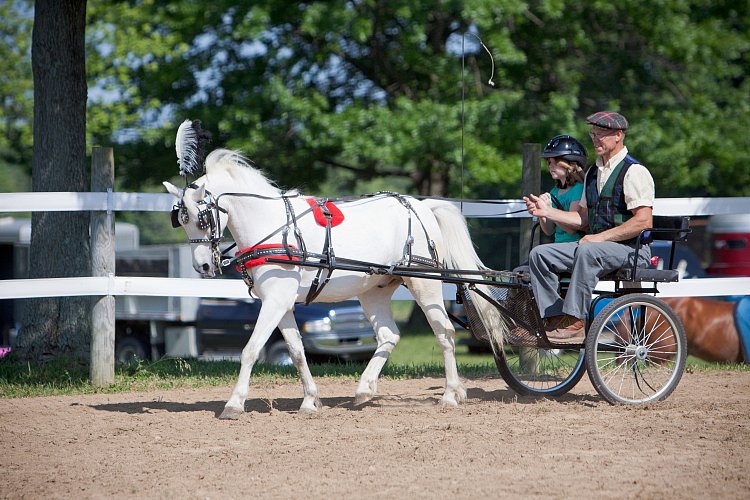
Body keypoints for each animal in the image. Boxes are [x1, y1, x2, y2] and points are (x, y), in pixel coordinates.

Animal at [163, 147, 506, 418]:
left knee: (445, 333)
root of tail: (422, 206)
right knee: (388, 335)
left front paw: (234, 404)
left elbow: (250, 349)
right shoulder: (281, 303)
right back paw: (365, 389)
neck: (274, 227)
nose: (203, 265)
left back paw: (450, 394)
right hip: (374, 291)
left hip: (425, 284)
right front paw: (310, 401)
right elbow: (296, 351)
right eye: (180, 219)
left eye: (202, 218)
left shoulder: (275, 301)